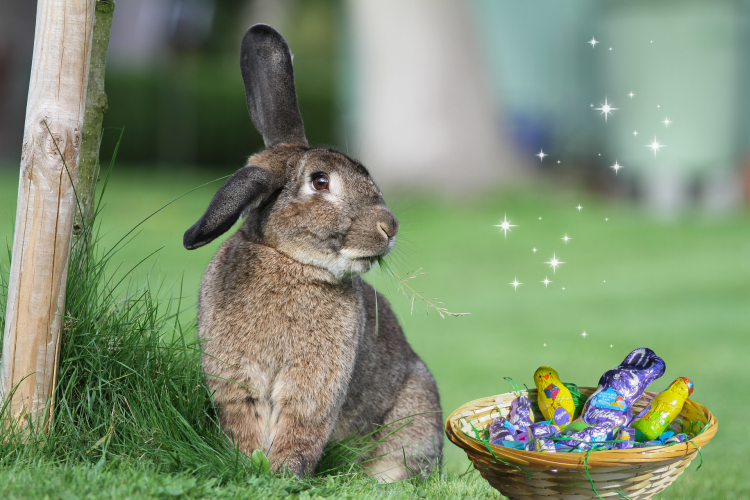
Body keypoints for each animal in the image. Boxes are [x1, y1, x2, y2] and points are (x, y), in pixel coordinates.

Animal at [183, 24, 443, 481]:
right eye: (320, 182)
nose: (389, 227)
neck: (289, 260)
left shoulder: (313, 384)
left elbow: (301, 425)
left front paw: (285, 474)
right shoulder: (235, 378)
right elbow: (244, 419)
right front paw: (248, 464)